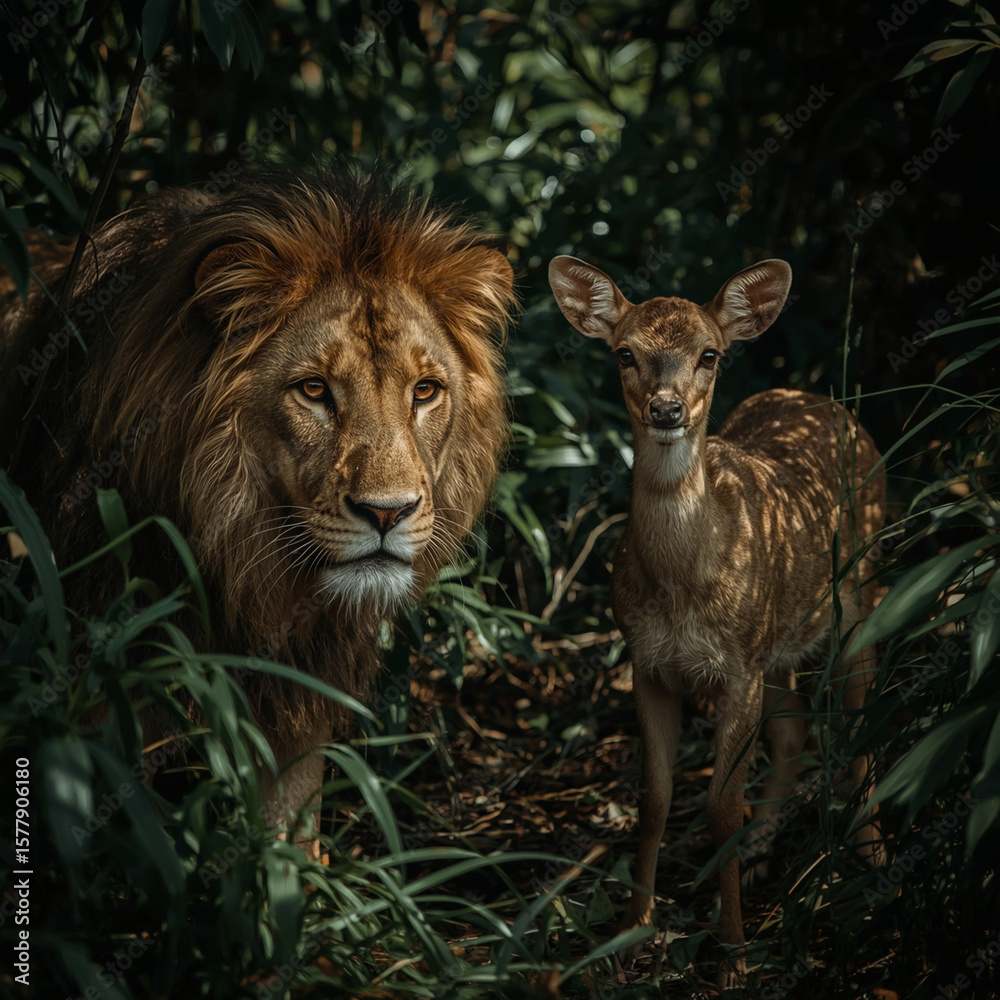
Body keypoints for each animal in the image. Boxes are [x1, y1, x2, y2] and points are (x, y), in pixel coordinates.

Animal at [548, 254, 886, 989]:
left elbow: (719, 806)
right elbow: (654, 798)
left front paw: (731, 954)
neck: (684, 584)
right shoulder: (646, 662)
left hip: (864, 592)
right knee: (794, 735)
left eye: (709, 354)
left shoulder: (738, 668)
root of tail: (821, 399)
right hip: (780, 640)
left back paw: (872, 855)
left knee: (859, 721)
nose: (667, 408)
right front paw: (632, 932)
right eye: (625, 352)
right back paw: (762, 854)